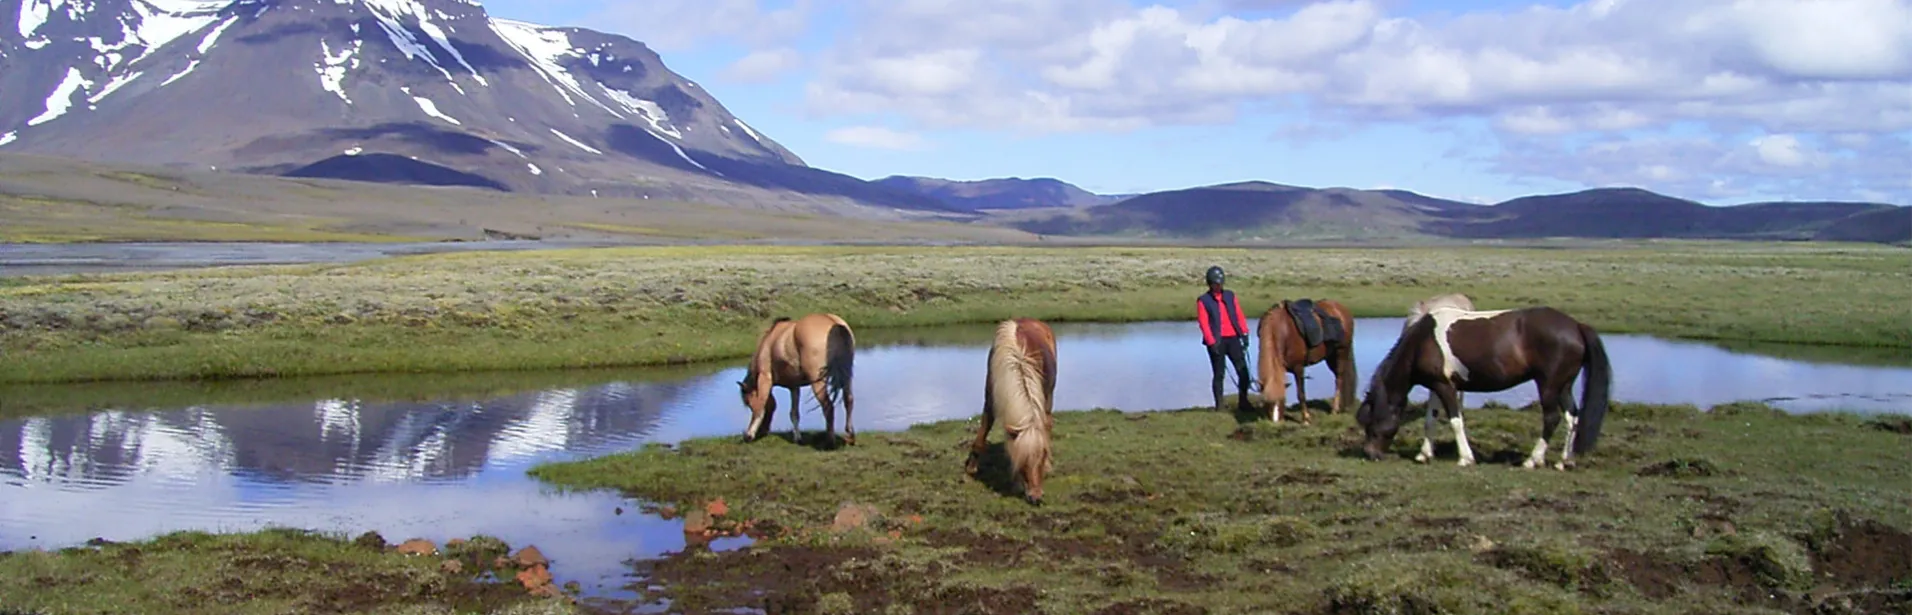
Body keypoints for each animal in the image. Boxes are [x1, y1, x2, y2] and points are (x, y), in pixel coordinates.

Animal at [734, 313, 856, 446]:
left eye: (749, 403)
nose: (763, 431)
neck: (768, 341)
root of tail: (834, 323)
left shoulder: (765, 378)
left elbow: (760, 408)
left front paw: (749, 435)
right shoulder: (794, 387)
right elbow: (794, 413)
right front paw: (798, 438)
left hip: (818, 381)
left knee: (828, 406)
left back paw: (829, 442)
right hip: (846, 375)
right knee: (848, 400)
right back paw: (850, 437)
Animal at [971, 317, 1063, 504]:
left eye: (1042, 457)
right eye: (1023, 462)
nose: (1036, 497)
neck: (1018, 360)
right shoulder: (990, 399)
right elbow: (982, 435)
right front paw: (971, 469)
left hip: (1049, 395)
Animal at [1353, 305, 1606, 471]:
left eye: (1373, 423)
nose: (1370, 454)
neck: (1423, 342)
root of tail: (1576, 326)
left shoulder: (1446, 387)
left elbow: (1455, 421)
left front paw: (1465, 458)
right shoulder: (1436, 385)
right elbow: (1430, 420)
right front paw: (1424, 454)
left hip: (1548, 385)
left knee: (1552, 418)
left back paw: (1533, 460)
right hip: (1564, 386)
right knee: (1572, 418)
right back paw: (1565, 461)